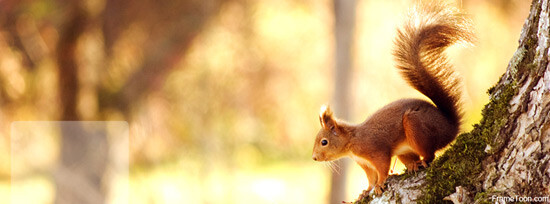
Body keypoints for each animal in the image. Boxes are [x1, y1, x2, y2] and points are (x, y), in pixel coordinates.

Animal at [312, 0, 476, 198]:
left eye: (324, 142)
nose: (314, 157)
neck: (352, 141)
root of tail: (451, 127)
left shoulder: (375, 151)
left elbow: (382, 168)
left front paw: (380, 184)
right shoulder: (364, 163)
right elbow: (370, 177)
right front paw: (365, 191)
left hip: (416, 125)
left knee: (430, 155)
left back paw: (422, 162)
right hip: (404, 150)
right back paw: (413, 165)